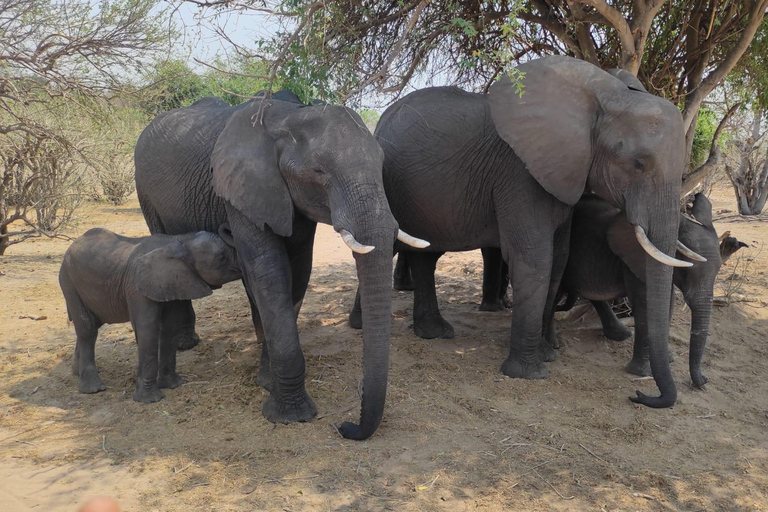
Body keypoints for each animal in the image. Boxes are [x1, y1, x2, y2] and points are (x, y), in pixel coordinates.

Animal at [59, 226, 240, 402]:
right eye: (223, 257)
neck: (180, 241)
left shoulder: (173, 282)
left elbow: (171, 327)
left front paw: (173, 385)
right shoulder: (137, 287)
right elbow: (147, 329)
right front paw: (151, 399)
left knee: (91, 324)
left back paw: (76, 372)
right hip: (69, 282)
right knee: (87, 328)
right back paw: (93, 389)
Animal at [136, 92, 428, 440]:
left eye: (382, 165)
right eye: (318, 171)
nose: (346, 427)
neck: (288, 118)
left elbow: (297, 272)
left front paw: (266, 382)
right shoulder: (241, 189)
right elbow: (270, 272)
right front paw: (291, 416)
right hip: (145, 192)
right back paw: (185, 345)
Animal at [352, 56, 700, 408]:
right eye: (639, 164)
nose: (639, 394)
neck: (602, 99)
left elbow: (558, 259)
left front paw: (548, 354)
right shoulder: (519, 173)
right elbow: (535, 259)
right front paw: (529, 373)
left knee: (426, 255)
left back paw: (434, 332)